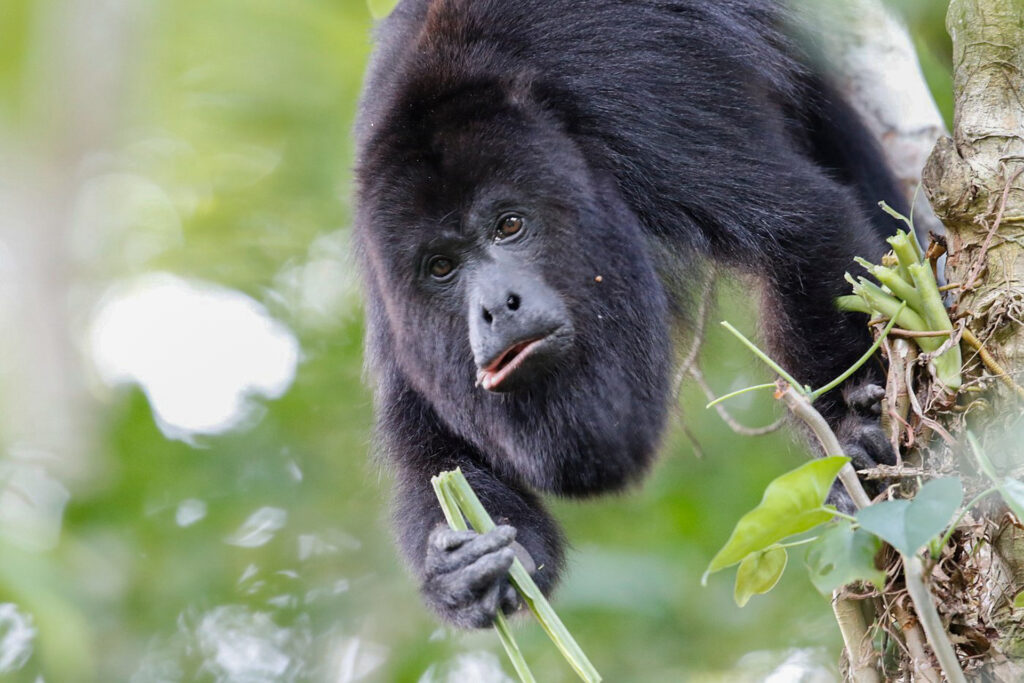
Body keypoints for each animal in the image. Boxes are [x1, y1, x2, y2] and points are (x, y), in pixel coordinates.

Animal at [353, 0, 904, 629]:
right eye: (441, 266)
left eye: (509, 225)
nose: (495, 306)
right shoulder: (384, 287)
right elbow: (432, 443)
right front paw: (458, 568)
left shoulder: (635, 119)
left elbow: (805, 226)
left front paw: (849, 436)